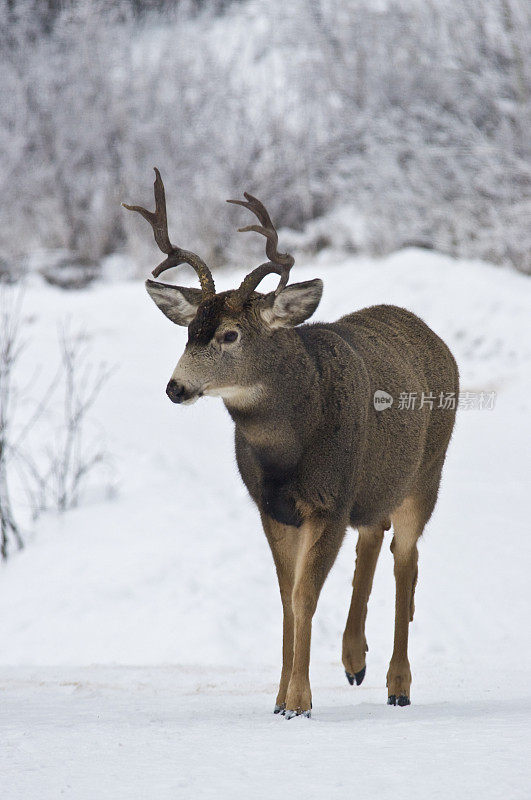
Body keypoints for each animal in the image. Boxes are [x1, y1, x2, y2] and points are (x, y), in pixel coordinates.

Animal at [123, 169, 458, 720]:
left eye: (230, 335)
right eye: (190, 331)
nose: (176, 387)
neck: (287, 450)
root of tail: (429, 332)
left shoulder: (328, 501)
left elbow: (304, 595)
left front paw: (300, 700)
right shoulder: (273, 507)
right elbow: (284, 596)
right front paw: (279, 698)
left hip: (426, 473)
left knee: (405, 560)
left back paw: (398, 684)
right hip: (372, 484)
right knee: (374, 534)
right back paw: (354, 660)